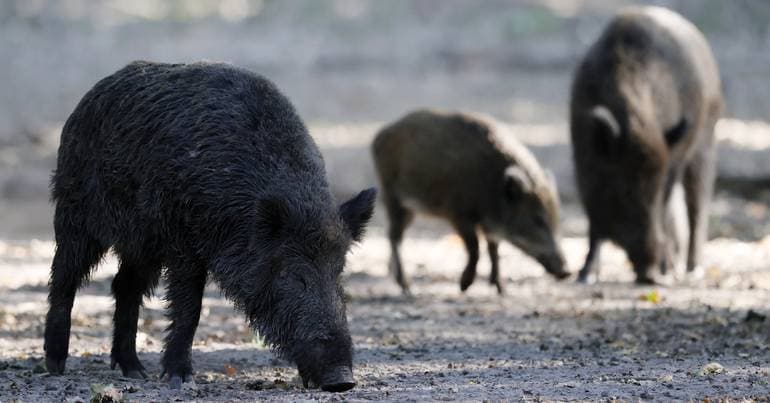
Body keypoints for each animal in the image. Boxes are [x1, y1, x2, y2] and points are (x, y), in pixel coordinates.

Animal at [43, 61, 376, 392]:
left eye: (339, 271)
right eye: (294, 275)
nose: (342, 380)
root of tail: (92, 95)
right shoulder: (182, 243)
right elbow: (190, 308)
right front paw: (180, 378)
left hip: (142, 244)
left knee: (124, 285)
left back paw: (135, 372)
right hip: (76, 214)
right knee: (64, 278)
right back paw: (55, 365)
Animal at [372, 109, 570, 295]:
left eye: (557, 218)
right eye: (538, 219)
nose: (566, 272)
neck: (491, 186)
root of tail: (380, 136)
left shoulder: (490, 226)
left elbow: (494, 250)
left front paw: (501, 289)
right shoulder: (459, 214)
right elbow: (475, 248)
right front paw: (464, 286)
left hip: (408, 208)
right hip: (393, 197)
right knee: (394, 236)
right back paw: (406, 287)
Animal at [570, 6, 722, 284]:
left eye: (656, 191)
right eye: (623, 190)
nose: (650, 274)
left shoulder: (670, 168)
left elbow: (665, 212)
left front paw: (668, 271)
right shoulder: (583, 163)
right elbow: (593, 222)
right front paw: (585, 276)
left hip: (705, 142)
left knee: (697, 206)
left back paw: (690, 270)